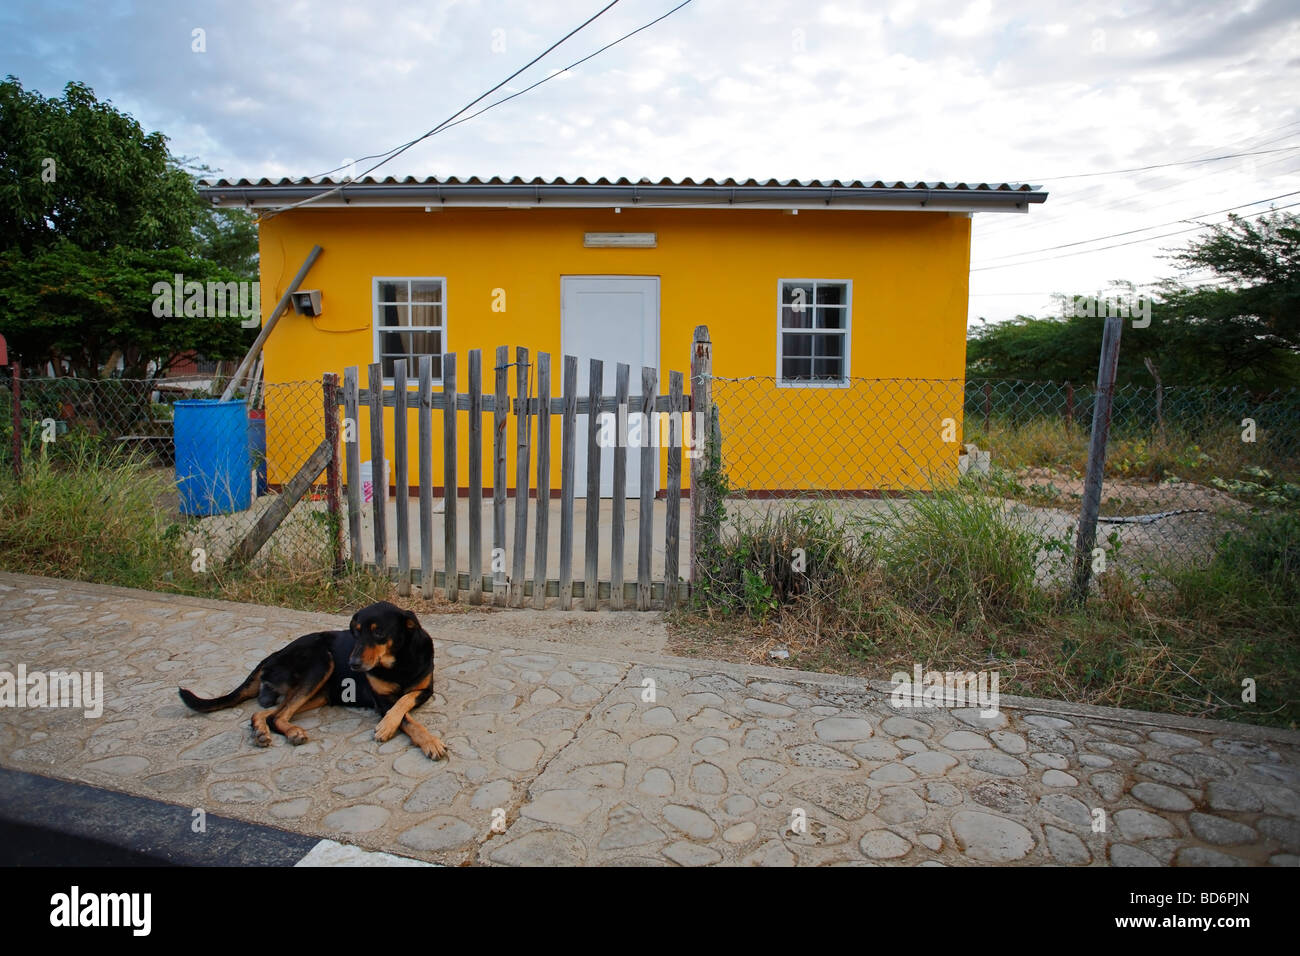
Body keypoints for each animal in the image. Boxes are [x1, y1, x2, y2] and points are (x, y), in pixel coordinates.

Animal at [176, 600, 447, 759]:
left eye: (378, 632)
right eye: (356, 632)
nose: (353, 664)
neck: (398, 662)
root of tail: (272, 655)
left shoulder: (424, 690)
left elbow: (404, 702)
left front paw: (423, 738)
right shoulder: (381, 700)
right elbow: (406, 718)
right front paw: (405, 733)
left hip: (320, 694)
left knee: (266, 713)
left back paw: (262, 731)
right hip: (320, 663)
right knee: (277, 715)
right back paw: (290, 732)